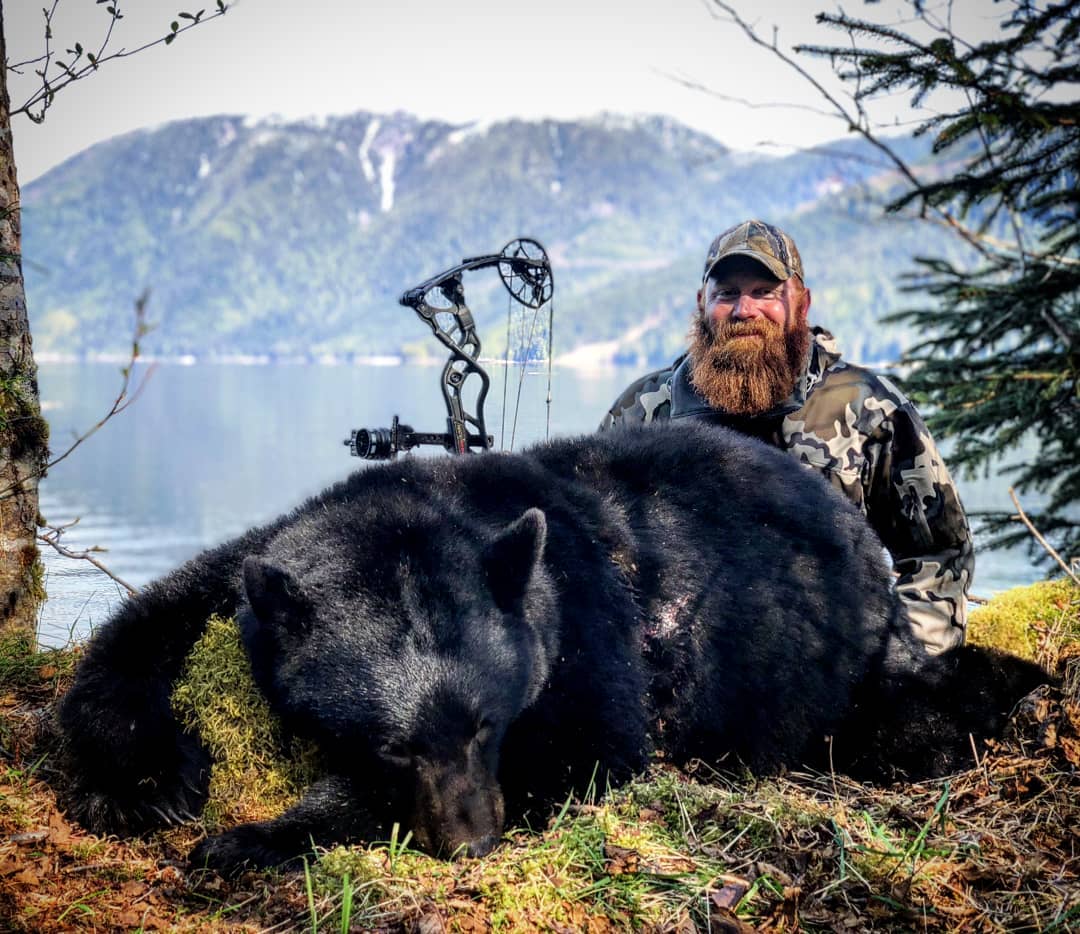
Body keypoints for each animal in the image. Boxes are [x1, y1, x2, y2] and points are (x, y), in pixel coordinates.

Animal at [52, 423, 1045, 872]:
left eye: (487, 722)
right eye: (392, 741)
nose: (473, 838)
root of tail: (857, 535)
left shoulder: (581, 618)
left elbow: (587, 751)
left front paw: (254, 834)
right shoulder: (255, 566)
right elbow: (141, 628)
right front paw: (153, 782)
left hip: (845, 668)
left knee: (912, 715)